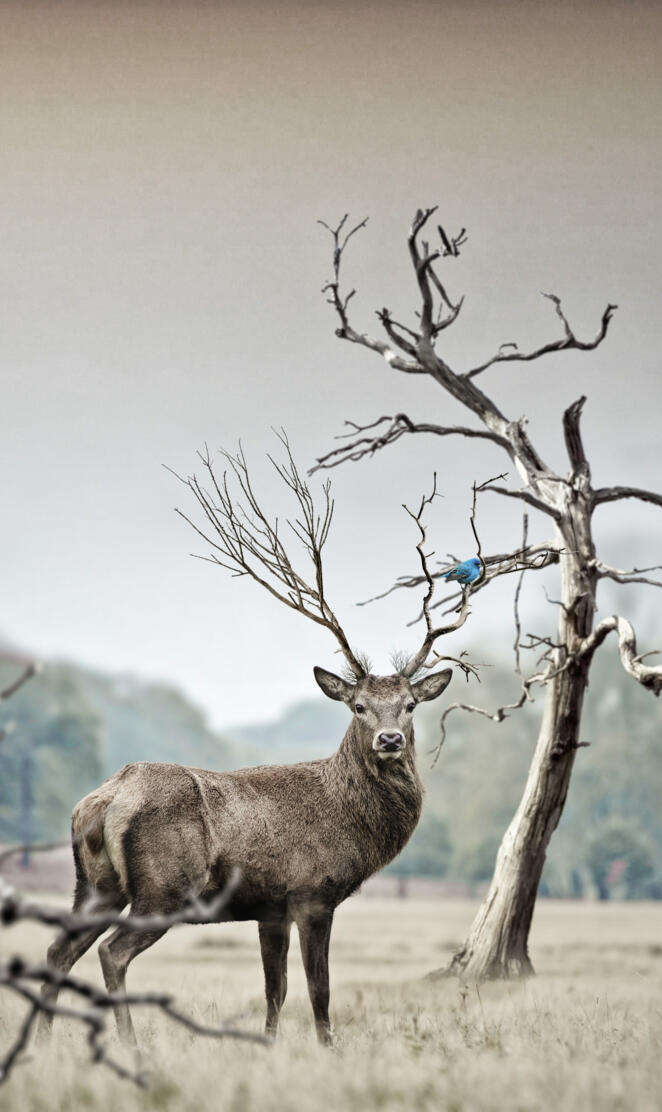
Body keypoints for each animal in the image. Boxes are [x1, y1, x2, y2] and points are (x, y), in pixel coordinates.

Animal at [38, 439, 469, 1047]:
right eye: (358, 706)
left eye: (410, 706)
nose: (388, 739)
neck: (350, 823)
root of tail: (102, 800)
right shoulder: (313, 892)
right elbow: (318, 989)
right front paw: (328, 1048)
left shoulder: (271, 907)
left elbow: (275, 990)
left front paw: (267, 1045)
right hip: (165, 887)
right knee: (110, 953)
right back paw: (128, 1040)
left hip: (96, 884)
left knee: (59, 948)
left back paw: (43, 1040)